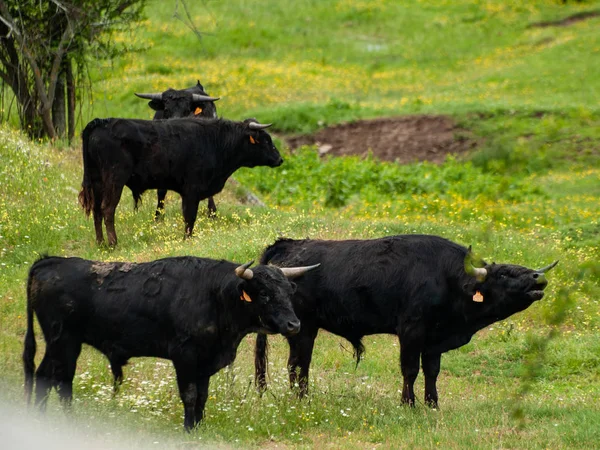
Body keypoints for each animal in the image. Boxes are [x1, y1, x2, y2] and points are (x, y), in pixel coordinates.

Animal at [24, 255, 318, 430]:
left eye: (288, 291)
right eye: (265, 294)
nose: (294, 325)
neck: (213, 295)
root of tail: (49, 261)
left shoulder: (205, 362)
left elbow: (202, 396)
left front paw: (199, 426)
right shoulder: (184, 356)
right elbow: (189, 394)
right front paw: (188, 428)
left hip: (59, 344)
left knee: (45, 376)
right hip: (64, 342)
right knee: (59, 380)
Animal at [78, 116, 282, 246]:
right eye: (266, 140)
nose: (280, 159)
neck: (216, 141)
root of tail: (101, 122)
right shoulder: (192, 190)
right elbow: (189, 216)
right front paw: (187, 239)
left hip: (97, 181)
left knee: (96, 210)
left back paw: (101, 243)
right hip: (115, 179)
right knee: (107, 209)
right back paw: (113, 243)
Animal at [254, 236, 556, 408]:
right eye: (504, 274)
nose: (538, 277)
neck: (446, 277)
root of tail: (288, 245)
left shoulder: (434, 341)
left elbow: (432, 371)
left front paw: (433, 404)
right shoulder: (411, 330)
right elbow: (410, 370)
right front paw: (408, 404)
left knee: (296, 365)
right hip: (303, 330)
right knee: (298, 365)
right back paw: (302, 400)